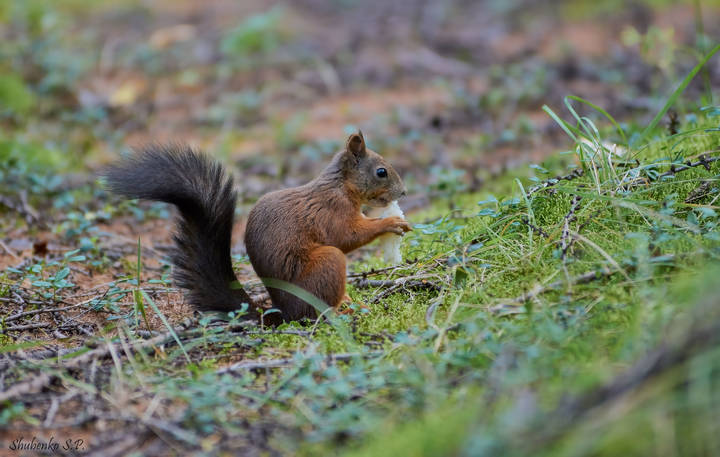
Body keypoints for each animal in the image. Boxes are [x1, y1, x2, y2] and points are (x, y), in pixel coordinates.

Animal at [104, 131, 411, 322]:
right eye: (381, 172)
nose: (404, 192)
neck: (341, 186)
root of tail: (284, 314)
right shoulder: (332, 211)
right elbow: (347, 236)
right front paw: (391, 222)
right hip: (327, 263)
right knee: (317, 312)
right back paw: (341, 312)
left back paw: (348, 301)